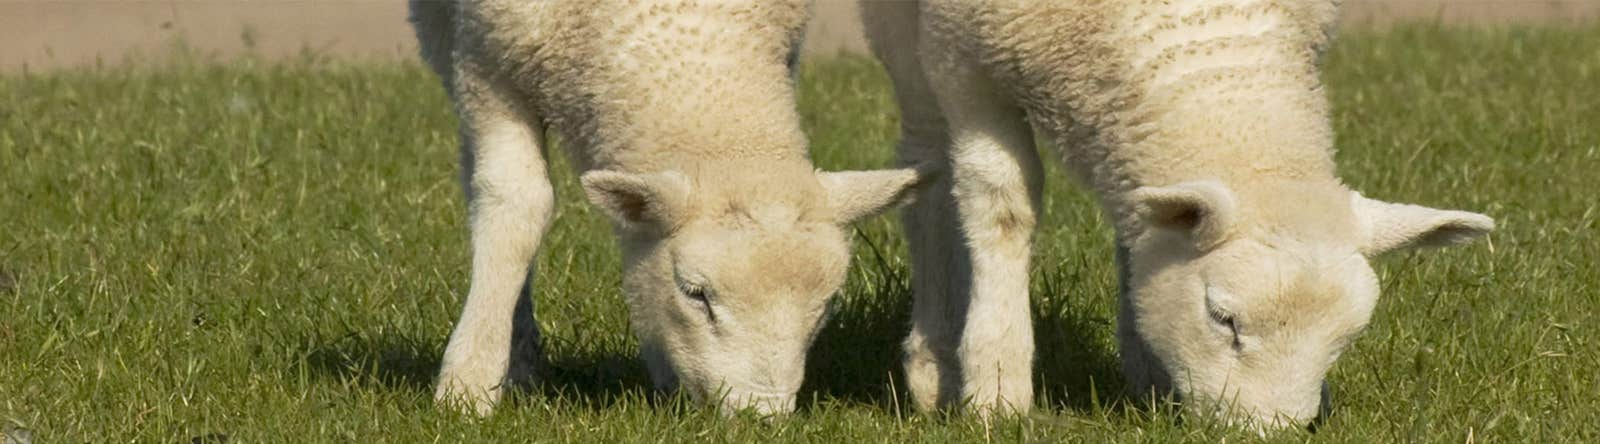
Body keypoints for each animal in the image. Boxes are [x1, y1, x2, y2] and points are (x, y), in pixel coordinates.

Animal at [410, 0, 927, 416]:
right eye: (694, 293)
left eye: (827, 304)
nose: (761, 418)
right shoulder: (485, 61)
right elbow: (517, 204)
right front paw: (469, 384)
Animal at [861, 0, 1494, 427]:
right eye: (1222, 318)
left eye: (1347, 337)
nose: (1268, 434)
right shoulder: (964, 58)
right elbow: (1002, 204)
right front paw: (997, 389)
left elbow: (1146, 223)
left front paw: (1149, 370)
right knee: (927, 153)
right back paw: (936, 360)